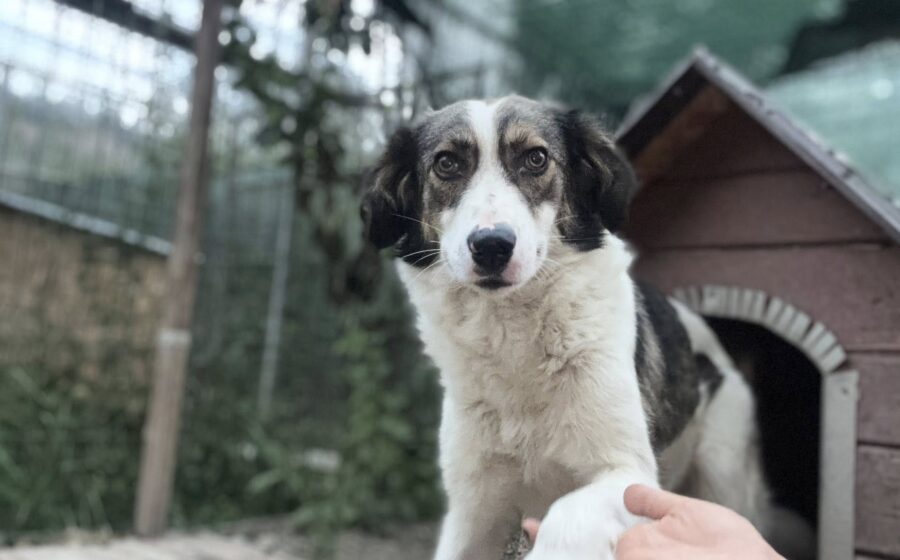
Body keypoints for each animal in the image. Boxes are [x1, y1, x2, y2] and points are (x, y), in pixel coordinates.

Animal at [361, 95, 813, 560]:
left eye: (536, 158)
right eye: (447, 163)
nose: (491, 246)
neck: (513, 337)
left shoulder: (628, 474)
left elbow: (569, 514)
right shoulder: (473, 512)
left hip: (723, 472)